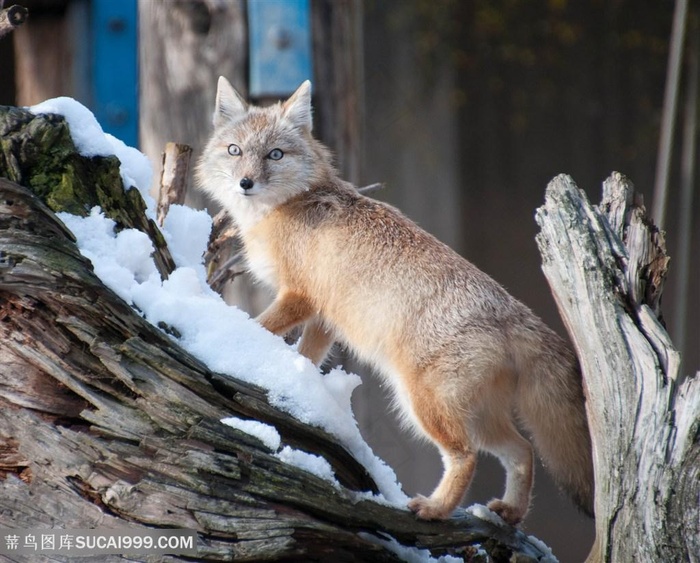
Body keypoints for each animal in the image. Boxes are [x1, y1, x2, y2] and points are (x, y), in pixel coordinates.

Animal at [197, 77, 596, 528]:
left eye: (274, 154)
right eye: (235, 151)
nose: (245, 183)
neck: (291, 206)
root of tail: (516, 313)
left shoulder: (300, 296)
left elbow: (260, 326)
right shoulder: (325, 317)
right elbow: (307, 356)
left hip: (424, 407)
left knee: (466, 457)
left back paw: (436, 509)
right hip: (479, 419)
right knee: (523, 451)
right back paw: (510, 512)